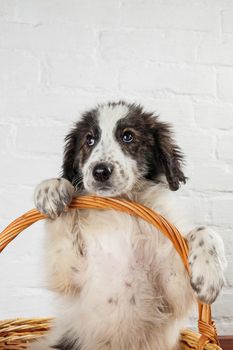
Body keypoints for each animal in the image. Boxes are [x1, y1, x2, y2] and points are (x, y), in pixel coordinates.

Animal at [30, 101, 227, 350]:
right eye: (89, 140)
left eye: (127, 136)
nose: (100, 171)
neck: (123, 209)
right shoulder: (71, 271)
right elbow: (62, 220)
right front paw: (51, 189)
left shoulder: (170, 289)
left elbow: (204, 230)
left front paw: (208, 277)